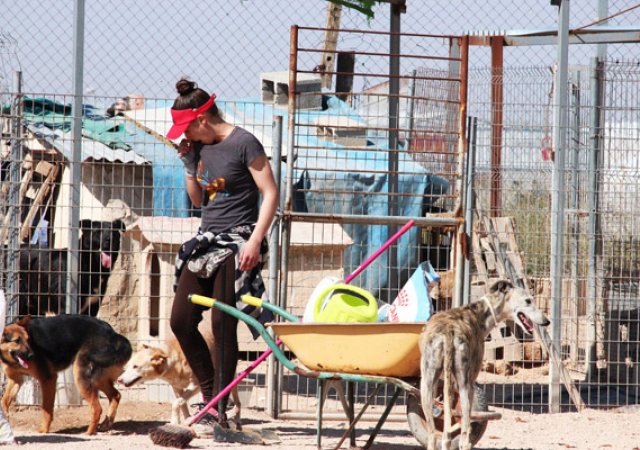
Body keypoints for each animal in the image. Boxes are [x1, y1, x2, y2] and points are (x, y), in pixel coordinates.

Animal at [0, 314, 132, 434]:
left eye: (28, 340)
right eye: (17, 341)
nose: (32, 355)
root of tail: (112, 332)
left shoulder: (48, 379)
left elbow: (46, 408)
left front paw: (44, 430)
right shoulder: (15, 380)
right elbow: (4, 401)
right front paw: (5, 417)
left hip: (81, 377)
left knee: (97, 408)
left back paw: (89, 433)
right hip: (97, 379)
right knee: (116, 395)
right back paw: (105, 424)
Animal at [418, 279, 550, 450]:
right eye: (528, 300)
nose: (547, 321)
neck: (478, 312)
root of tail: (448, 332)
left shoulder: (447, 384)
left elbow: (446, 431)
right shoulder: (470, 382)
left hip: (426, 385)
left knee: (433, 436)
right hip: (465, 385)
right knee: (464, 434)